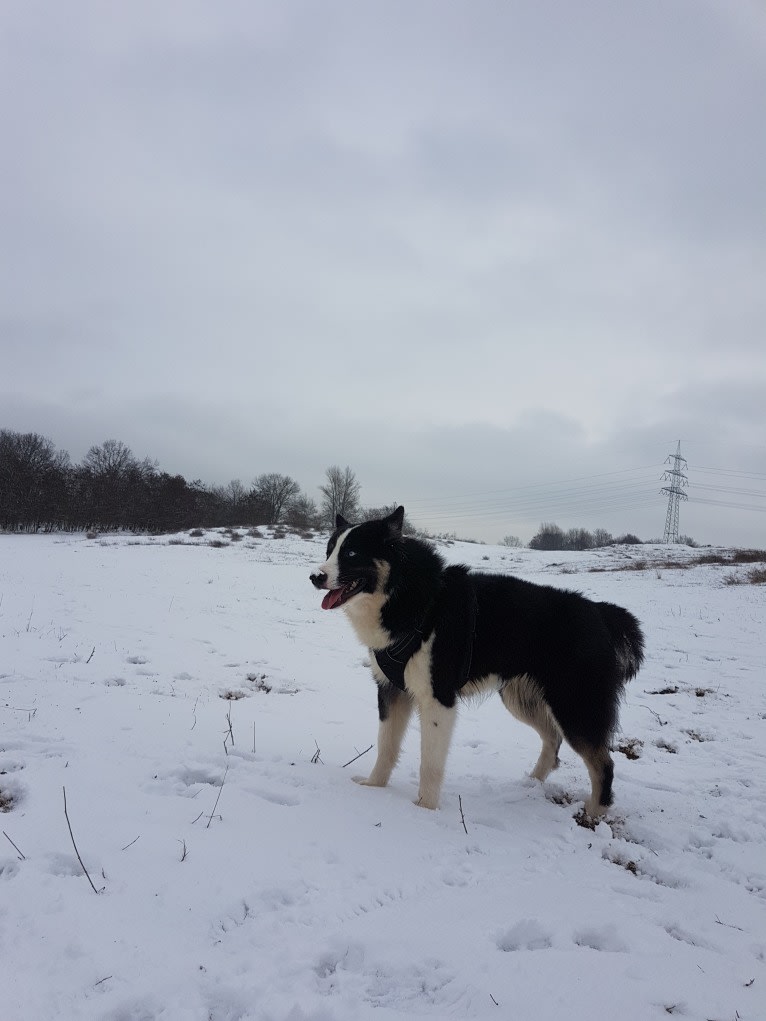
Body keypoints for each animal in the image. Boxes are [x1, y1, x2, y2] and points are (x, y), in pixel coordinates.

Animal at [308, 506, 645, 816]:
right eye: (329, 550)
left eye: (352, 553)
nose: (315, 577)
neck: (409, 598)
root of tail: (600, 611)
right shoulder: (391, 691)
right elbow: (386, 747)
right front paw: (374, 788)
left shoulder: (437, 699)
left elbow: (430, 763)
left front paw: (425, 810)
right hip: (521, 697)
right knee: (552, 740)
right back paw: (531, 784)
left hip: (575, 705)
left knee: (603, 763)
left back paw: (595, 813)